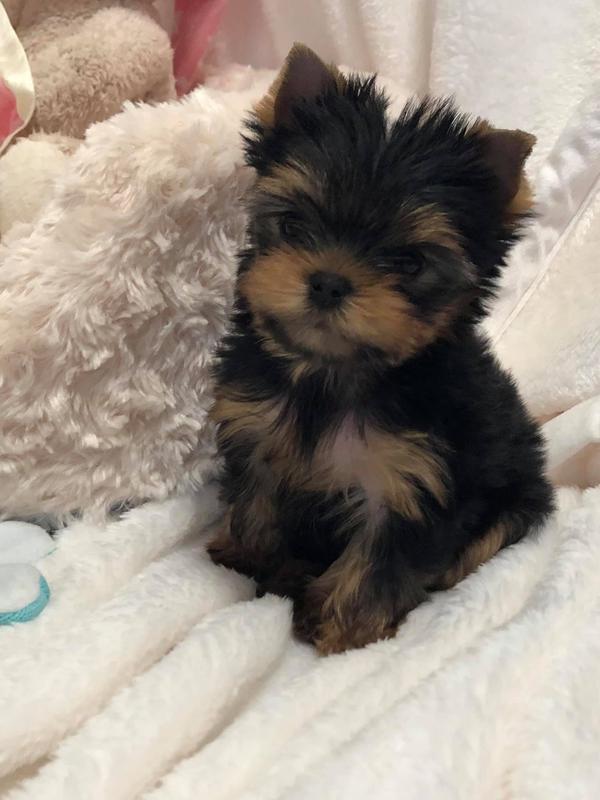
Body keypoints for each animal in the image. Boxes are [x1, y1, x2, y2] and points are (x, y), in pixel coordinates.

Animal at [210, 43, 552, 652]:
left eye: (410, 264)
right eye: (292, 224)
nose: (328, 282)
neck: (334, 374)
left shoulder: (413, 482)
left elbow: (379, 563)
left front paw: (340, 630)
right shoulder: (257, 433)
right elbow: (255, 501)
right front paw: (245, 554)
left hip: (519, 494)